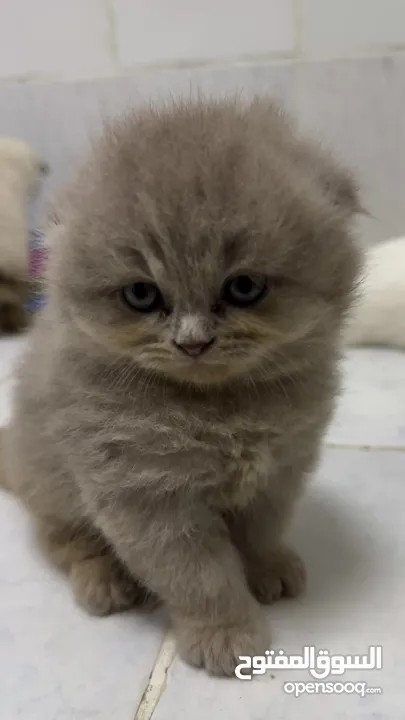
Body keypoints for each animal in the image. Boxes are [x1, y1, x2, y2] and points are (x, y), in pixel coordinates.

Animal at [3, 100, 362, 676]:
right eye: (142, 295)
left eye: (244, 287)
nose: (193, 342)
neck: (220, 409)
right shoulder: (148, 499)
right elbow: (201, 579)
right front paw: (226, 636)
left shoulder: (279, 472)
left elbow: (261, 531)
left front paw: (268, 570)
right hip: (52, 488)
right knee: (65, 540)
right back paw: (105, 582)